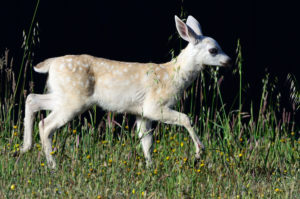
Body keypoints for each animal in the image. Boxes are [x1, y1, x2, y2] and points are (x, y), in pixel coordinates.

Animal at [20, 15, 232, 169]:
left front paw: (150, 168)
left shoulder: (142, 113)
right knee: (45, 124)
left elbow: (147, 142)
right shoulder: (155, 105)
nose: (229, 60)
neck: (171, 75)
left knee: (31, 99)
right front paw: (199, 151)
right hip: (74, 100)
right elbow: (186, 118)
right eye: (213, 50)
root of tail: (50, 64)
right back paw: (53, 165)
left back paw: (25, 147)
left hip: (62, 95)